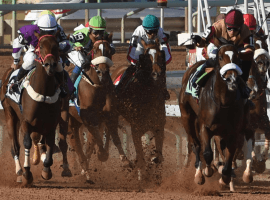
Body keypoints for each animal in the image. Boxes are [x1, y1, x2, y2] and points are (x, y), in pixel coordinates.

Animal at [0, 33, 61, 186]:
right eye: (41, 46)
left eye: (56, 46)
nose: (50, 65)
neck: (43, 93)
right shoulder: (26, 122)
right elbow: (26, 143)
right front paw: (27, 174)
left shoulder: (51, 125)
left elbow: (50, 144)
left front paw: (46, 170)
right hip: (10, 115)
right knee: (15, 146)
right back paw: (19, 172)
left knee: (38, 141)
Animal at [68, 33, 130, 184]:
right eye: (95, 50)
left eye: (109, 50)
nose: (102, 72)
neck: (98, 87)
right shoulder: (88, 118)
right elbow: (96, 137)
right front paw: (102, 154)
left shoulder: (110, 115)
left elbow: (114, 137)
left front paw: (125, 160)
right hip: (69, 120)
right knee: (75, 142)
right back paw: (85, 170)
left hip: (76, 122)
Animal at [110, 38, 167, 180]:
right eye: (146, 57)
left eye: (160, 55)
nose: (156, 73)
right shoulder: (136, 129)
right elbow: (140, 157)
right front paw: (142, 176)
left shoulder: (159, 127)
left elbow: (158, 156)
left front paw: (153, 164)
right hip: (113, 116)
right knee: (115, 137)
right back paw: (126, 161)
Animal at [179, 40, 249, 186]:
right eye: (220, 57)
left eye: (238, 57)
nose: (232, 79)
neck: (223, 101)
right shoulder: (204, 126)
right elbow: (207, 153)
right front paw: (208, 170)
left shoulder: (233, 131)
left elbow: (230, 154)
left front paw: (225, 177)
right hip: (186, 116)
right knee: (196, 144)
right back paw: (199, 174)